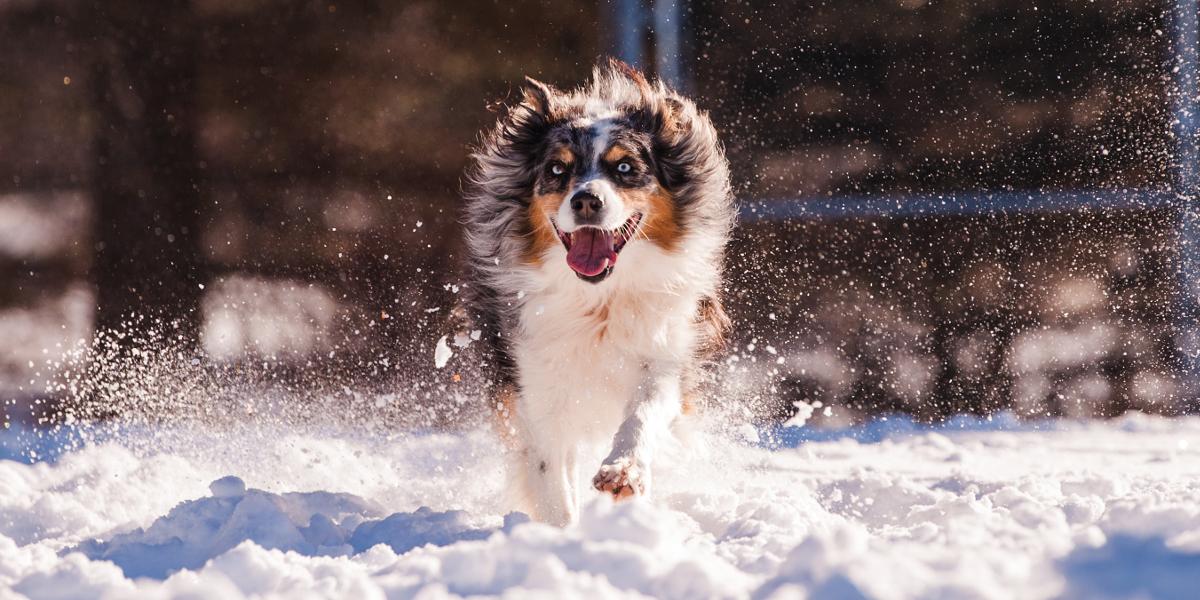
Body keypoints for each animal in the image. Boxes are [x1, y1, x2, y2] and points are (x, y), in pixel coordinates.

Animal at [453, 58, 729, 523]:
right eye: (557, 170)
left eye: (625, 168)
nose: (586, 201)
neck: (599, 300)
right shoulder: (536, 381)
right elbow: (550, 476)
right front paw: (563, 532)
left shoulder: (666, 349)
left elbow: (645, 411)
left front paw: (623, 472)